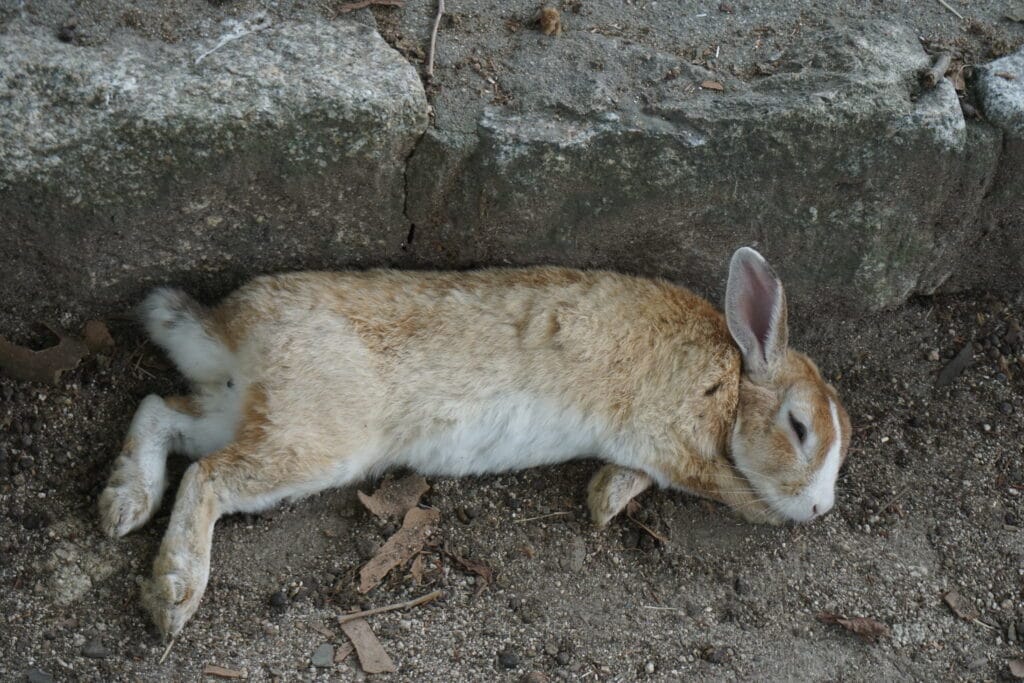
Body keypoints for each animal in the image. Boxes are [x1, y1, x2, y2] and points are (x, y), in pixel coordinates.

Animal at [98, 247, 850, 637]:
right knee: (209, 476)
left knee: (159, 410)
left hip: (239, 406)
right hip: (312, 440)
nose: (820, 510)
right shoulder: (676, 436)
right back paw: (173, 592)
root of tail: (229, 330)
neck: (733, 381)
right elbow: (729, 488)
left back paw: (122, 502)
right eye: (799, 427)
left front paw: (606, 497)